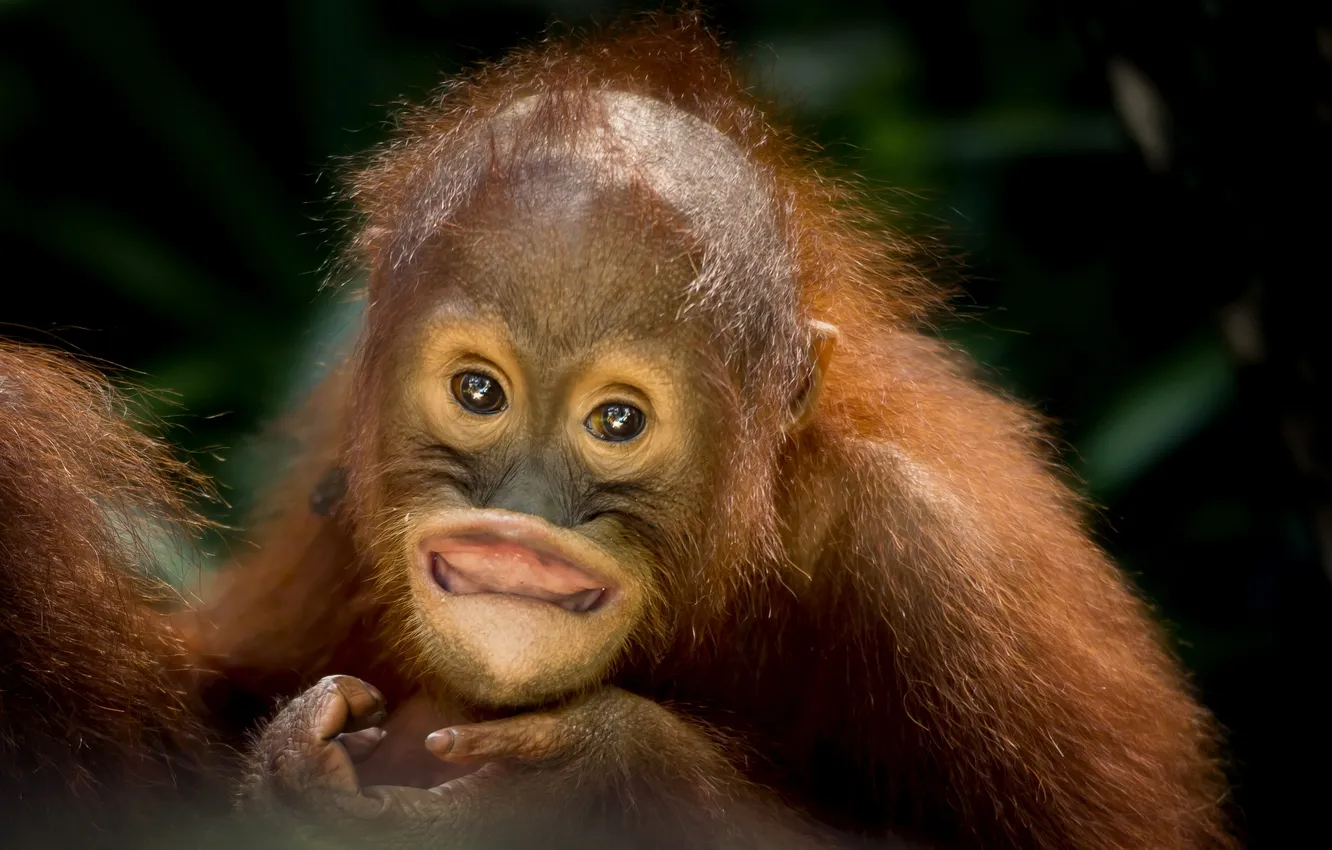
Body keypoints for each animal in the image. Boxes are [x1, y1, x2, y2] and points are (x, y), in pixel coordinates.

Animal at [0, 12, 1231, 850]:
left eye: (617, 420)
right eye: (480, 393)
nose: (521, 519)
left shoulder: (933, 564)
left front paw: (588, 776)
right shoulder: (332, 505)